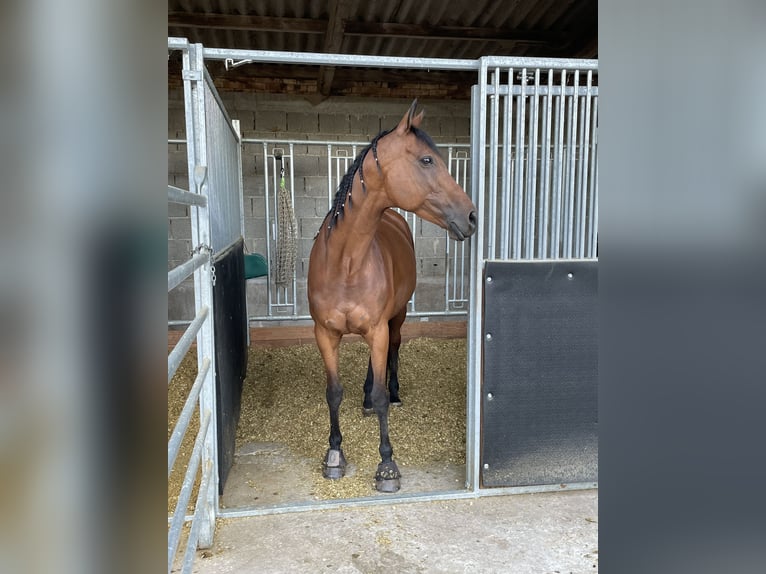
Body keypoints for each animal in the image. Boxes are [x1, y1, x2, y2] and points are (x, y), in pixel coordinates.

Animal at [308, 100, 476, 496]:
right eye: (427, 160)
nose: (472, 215)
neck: (345, 263)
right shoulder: (325, 334)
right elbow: (333, 392)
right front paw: (334, 455)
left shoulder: (379, 329)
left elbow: (383, 394)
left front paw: (387, 466)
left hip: (394, 319)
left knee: (393, 352)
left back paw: (392, 392)